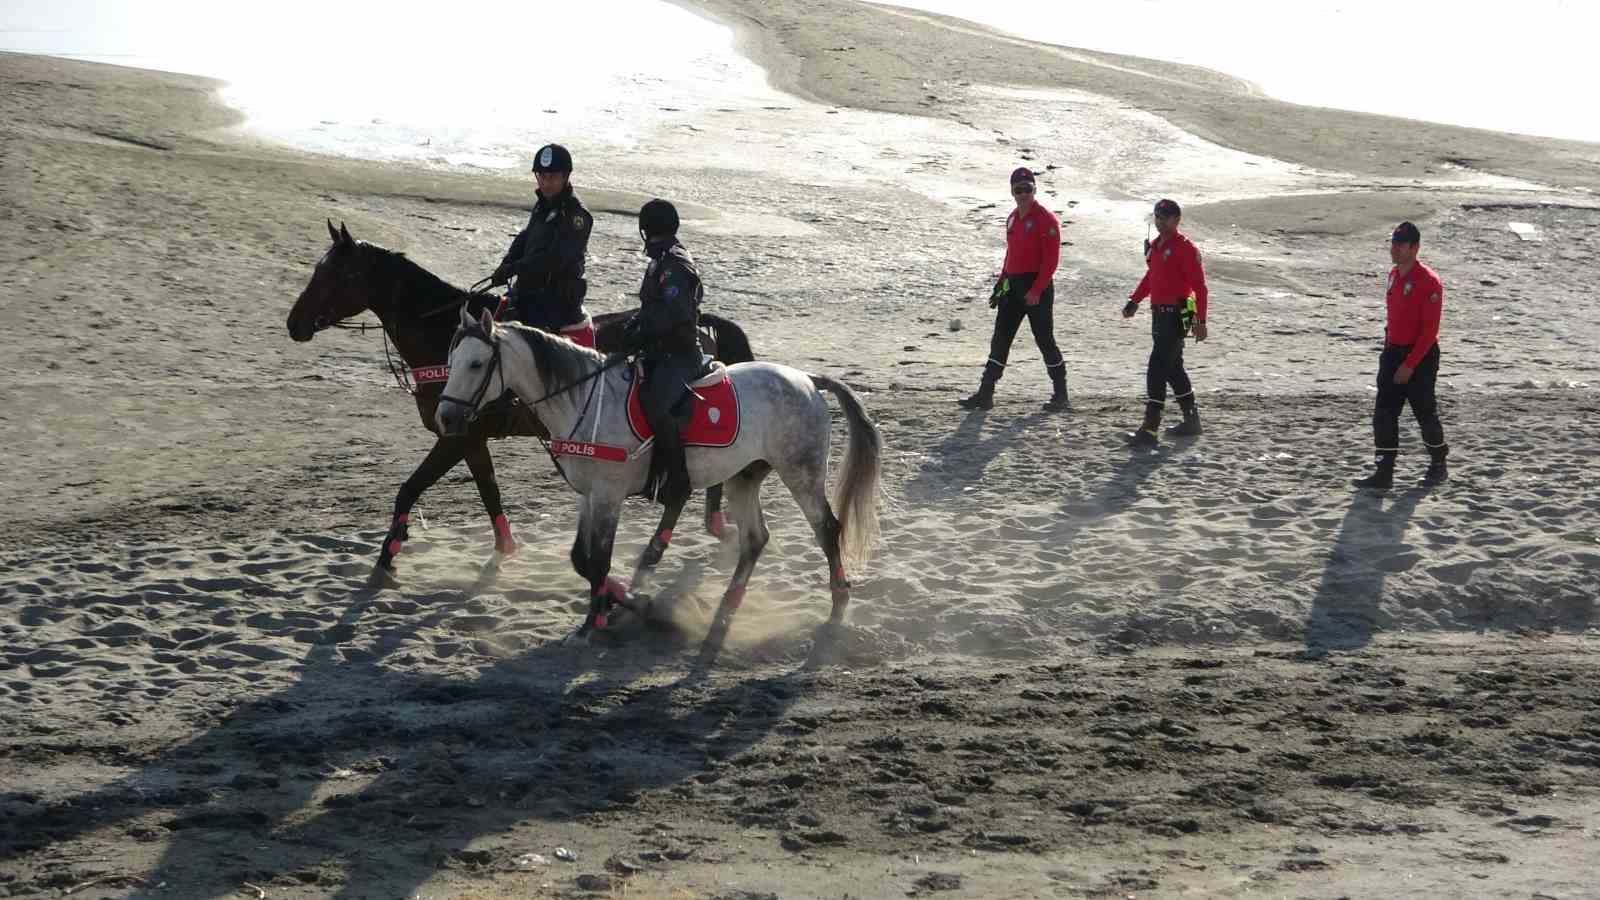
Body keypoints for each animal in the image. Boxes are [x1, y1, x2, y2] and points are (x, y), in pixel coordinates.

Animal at [286, 220, 755, 576]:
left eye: (335, 275)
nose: (294, 323)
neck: (445, 339)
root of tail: (708, 326)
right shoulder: (469, 439)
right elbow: (488, 490)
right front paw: (505, 546)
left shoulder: (456, 437)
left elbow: (410, 489)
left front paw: (389, 552)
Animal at [435, 307, 889, 643]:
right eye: (449, 361)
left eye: (476, 363)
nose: (446, 417)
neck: (584, 400)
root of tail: (807, 380)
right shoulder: (588, 495)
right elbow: (582, 559)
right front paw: (621, 604)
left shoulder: (609, 495)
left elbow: (598, 560)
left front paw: (600, 620)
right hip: (744, 476)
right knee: (755, 539)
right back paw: (727, 606)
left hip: (801, 472)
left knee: (827, 529)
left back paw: (838, 603)